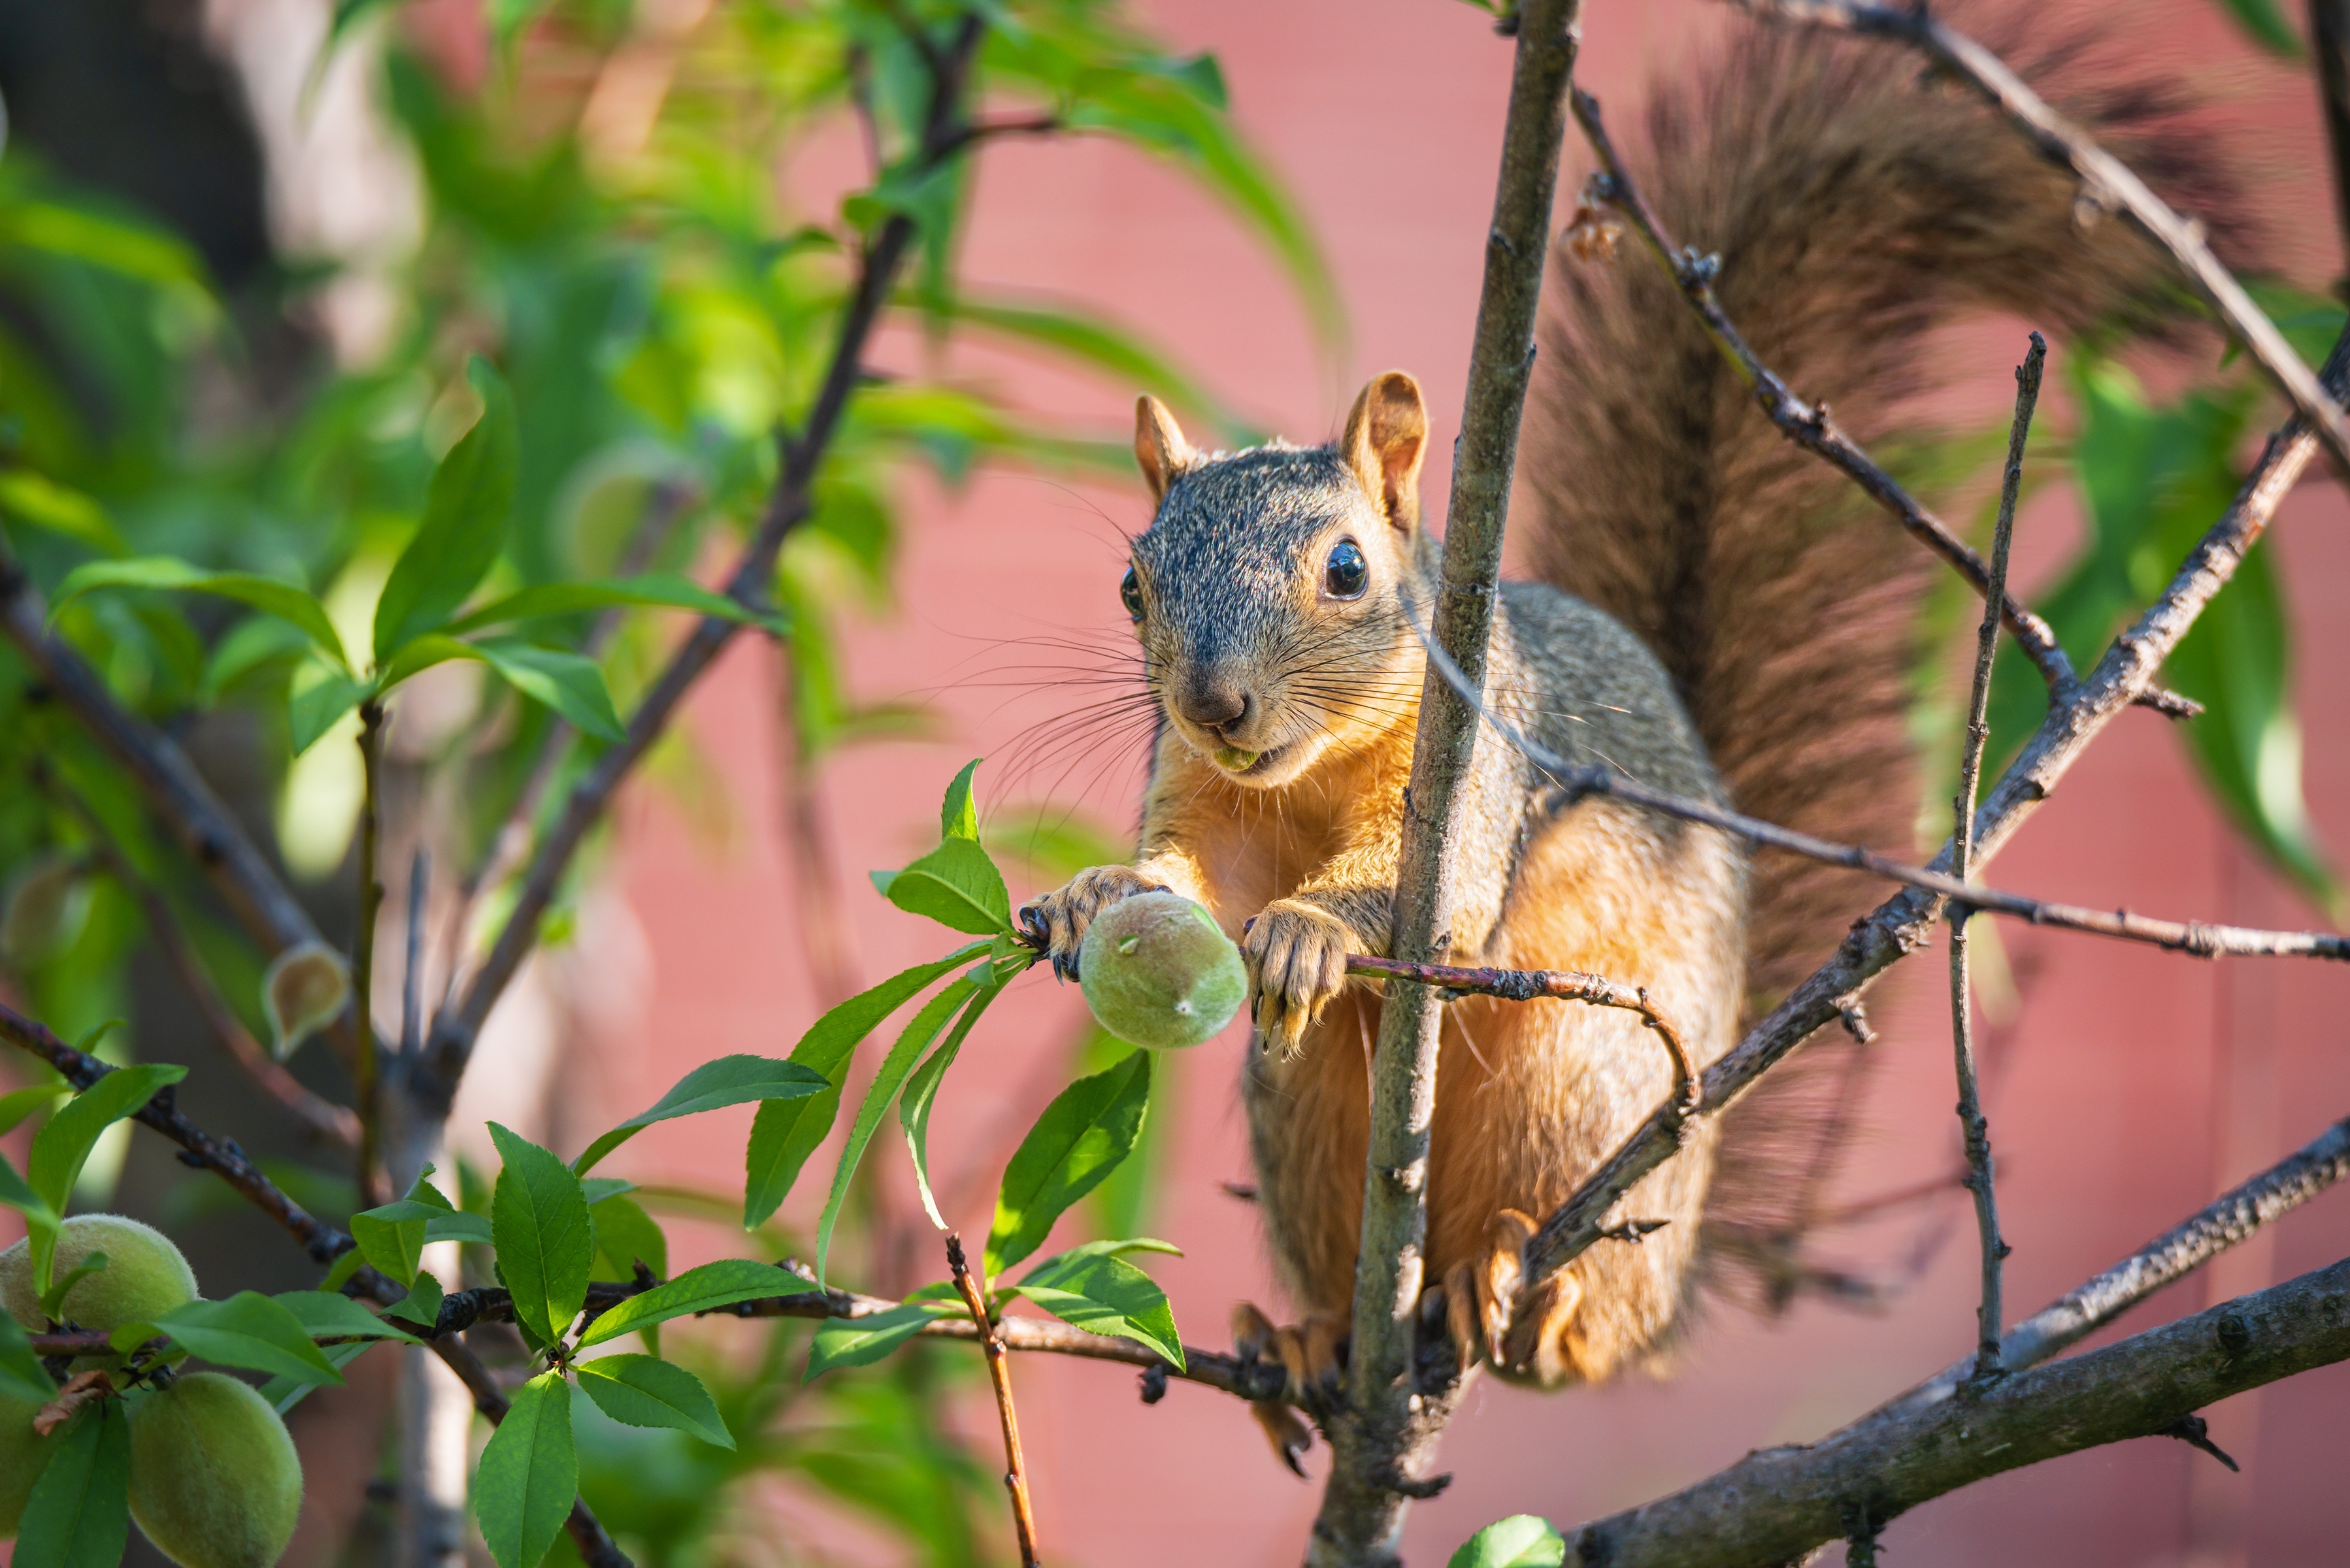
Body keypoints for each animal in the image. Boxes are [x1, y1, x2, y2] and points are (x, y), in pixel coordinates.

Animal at [1019, 18, 2228, 1467]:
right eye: (1133, 584)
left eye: (1349, 569)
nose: (1215, 706)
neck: (1313, 772)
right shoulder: (1199, 795)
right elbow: (1186, 881)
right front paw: (1098, 892)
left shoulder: (1482, 769)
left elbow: (1431, 901)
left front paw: (1312, 929)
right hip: (1302, 1122)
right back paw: (1309, 1339)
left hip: (1577, 1076)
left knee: (1568, 1305)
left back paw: (1515, 1278)